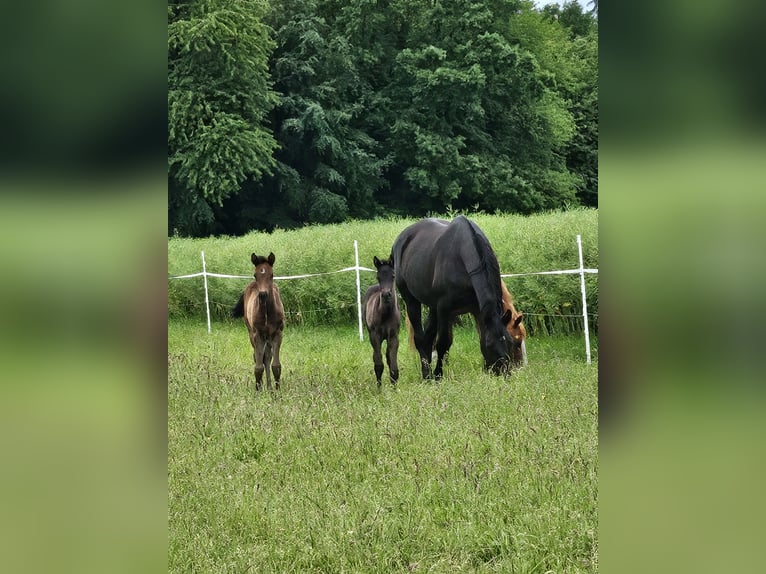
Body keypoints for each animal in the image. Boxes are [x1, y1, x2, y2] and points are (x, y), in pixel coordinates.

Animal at [232, 252, 286, 392]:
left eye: (272, 274)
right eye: (255, 275)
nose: (262, 295)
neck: (267, 311)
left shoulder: (277, 334)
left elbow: (276, 365)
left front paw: (277, 391)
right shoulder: (257, 335)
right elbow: (258, 366)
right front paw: (258, 390)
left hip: (267, 337)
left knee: (267, 358)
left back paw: (269, 387)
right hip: (252, 334)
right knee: (258, 358)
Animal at [364, 256, 404, 388]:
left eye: (393, 276)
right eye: (378, 277)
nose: (386, 294)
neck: (386, 314)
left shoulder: (394, 337)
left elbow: (393, 368)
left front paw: (394, 389)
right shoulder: (375, 336)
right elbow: (378, 365)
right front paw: (379, 389)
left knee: (387, 357)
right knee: (376, 357)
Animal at [392, 215, 512, 378]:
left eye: (510, 342)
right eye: (491, 344)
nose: (504, 372)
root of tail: (401, 238)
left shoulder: (477, 310)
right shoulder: (444, 308)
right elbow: (443, 343)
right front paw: (437, 375)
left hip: (432, 306)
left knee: (428, 337)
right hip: (411, 301)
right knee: (420, 337)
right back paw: (426, 374)